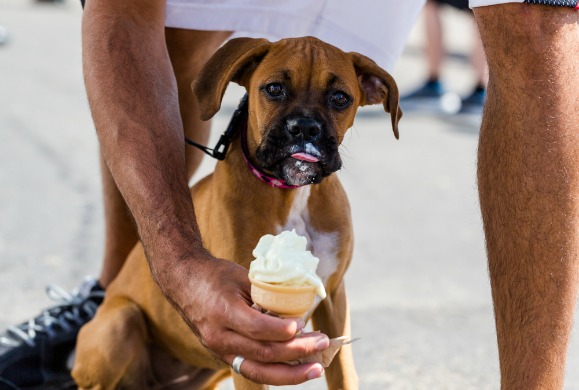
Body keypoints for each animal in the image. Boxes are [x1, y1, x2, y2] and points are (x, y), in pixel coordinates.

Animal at [72, 36, 402, 390]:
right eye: (274, 89)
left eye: (340, 98)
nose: (305, 128)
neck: (292, 194)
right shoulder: (247, 335)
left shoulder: (334, 300)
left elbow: (344, 374)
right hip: (120, 322)